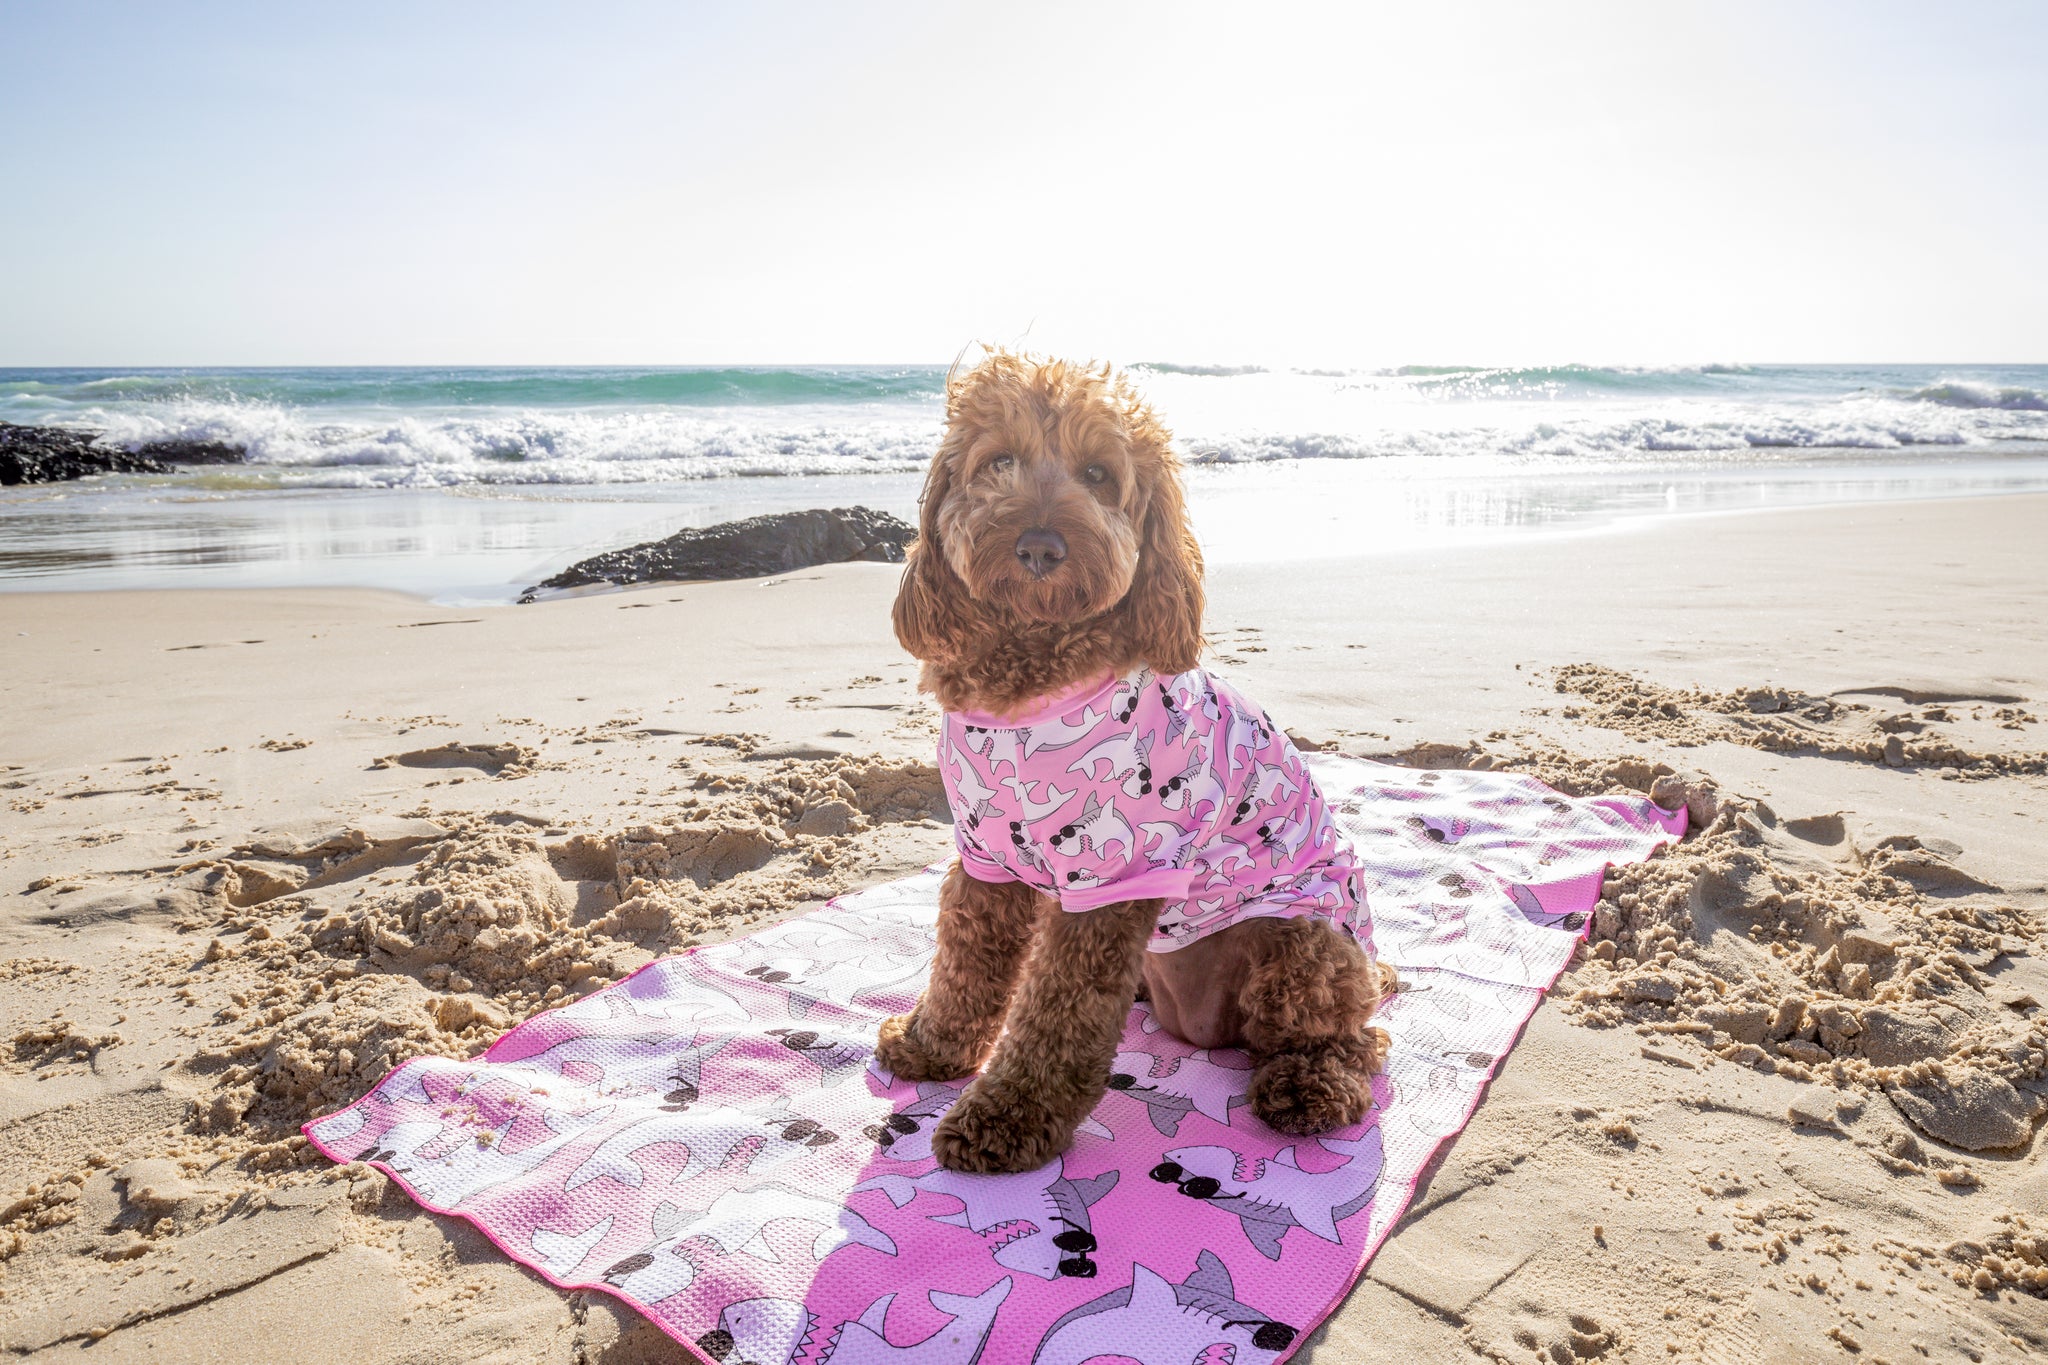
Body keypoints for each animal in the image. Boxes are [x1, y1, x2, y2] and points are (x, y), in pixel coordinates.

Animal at [868, 349, 1392, 1178]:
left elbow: (1057, 1017)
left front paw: (1006, 1118)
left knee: (1353, 1038)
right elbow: (963, 966)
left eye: (1098, 473)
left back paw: (1309, 1087)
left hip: (1305, 944)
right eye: (998, 461)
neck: (1031, 681)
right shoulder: (985, 858)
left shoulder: (1110, 880)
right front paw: (931, 1047)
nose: (1040, 545)